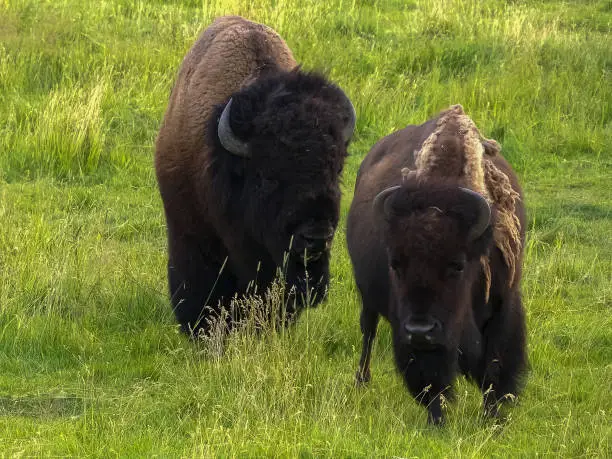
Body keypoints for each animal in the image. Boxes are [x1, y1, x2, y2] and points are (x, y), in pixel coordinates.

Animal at [346, 106, 528, 426]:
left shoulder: (503, 307)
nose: (421, 330)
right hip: (367, 298)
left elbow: (495, 369)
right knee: (368, 331)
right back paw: (362, 381)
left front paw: (493, 420)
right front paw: (437, 422)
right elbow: (430, 380)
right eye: (396, 264)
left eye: (457, 265)